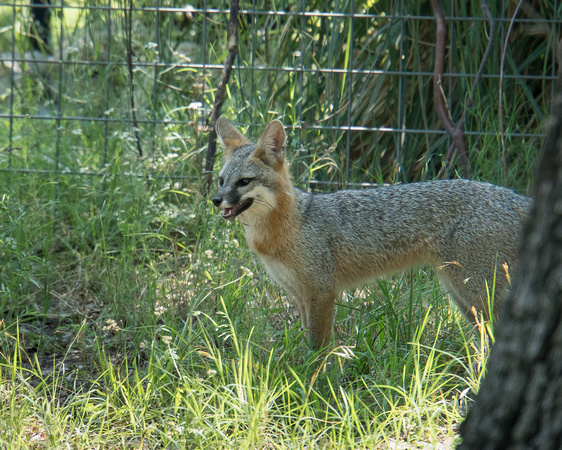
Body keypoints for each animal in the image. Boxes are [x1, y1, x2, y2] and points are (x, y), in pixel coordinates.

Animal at [210, 116, 528, 348]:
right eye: (221, 180)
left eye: (244, 181)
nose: (215, 200)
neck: (289, 225)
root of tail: (514, 197)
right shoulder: (300, 295)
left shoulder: (322, 292)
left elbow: (318, 347)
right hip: (464, 300)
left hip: (476, 295)